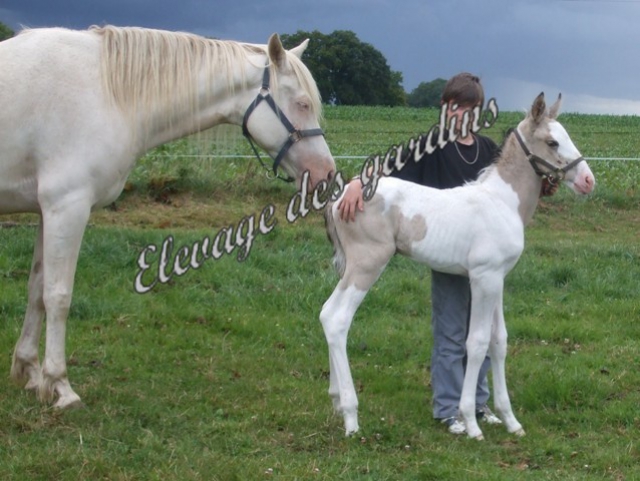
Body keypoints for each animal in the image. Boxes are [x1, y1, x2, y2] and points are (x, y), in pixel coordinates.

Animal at [0, 25, 335, 409]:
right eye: (303, 103)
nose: (327, 174)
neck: (106, 93)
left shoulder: (48, 211)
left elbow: (37, 289)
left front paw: (30, 371)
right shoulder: (66, 206)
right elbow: (58, 296)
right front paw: (60, 385)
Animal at [321, 93, 595, 440]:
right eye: (552, 142)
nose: (588, 180)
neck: (502, 201)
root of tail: (343, 195)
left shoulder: (498, 280)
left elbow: (499, 341)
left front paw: (509, 420)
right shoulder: (483, 278)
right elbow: (476, 343)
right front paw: (470, 423)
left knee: (326, 314)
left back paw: (335, 400)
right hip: (367, 264)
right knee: (337, 318)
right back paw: (351, 416)